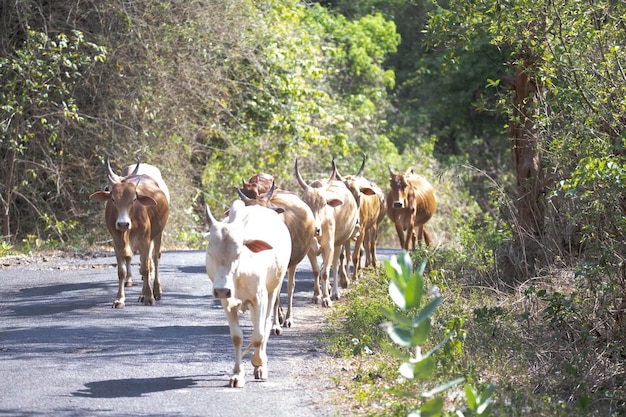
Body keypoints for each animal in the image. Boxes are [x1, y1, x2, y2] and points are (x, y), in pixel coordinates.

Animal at [88, 158, 169, 308]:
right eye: (113, 199)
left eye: (134, 199)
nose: (123, 224)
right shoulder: (117, 243)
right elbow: (122, 271)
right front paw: (119, 299)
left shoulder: (145, 242)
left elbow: (145, 269)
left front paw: (149, 296)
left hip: (158, 234)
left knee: (154, 259)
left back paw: (156, 290)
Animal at [205, 199, 292, 386]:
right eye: (210, 252)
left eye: (238, 253)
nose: (221, 289)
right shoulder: (226, 302)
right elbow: (237, 337)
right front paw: (238, 374)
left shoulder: (260, 298)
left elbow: (259, 335)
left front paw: (258, 363)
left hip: (273, 289)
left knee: (265, 324)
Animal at [292, 159, 356, 306]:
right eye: (306, 203)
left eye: (324, 204)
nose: (315, 229)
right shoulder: (310, 250)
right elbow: (316, 271)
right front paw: (316, 296)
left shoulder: (329, 246)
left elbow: (326, 272)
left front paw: (326, 298)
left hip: (339, 244)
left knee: (336, 264)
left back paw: (335, 293)